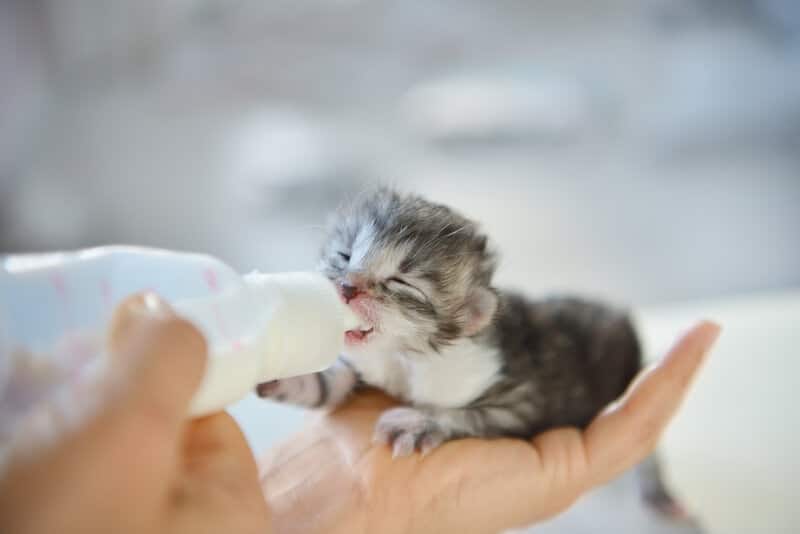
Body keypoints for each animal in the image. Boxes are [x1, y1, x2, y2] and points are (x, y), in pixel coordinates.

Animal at [253, 187, 640, 456]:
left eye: (401, 283)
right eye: (344, 256)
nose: (347, 287)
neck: (402, 358)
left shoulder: (521, 396)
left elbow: (477, 416)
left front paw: (421, 422)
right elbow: (337, 380)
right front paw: (288, 373)